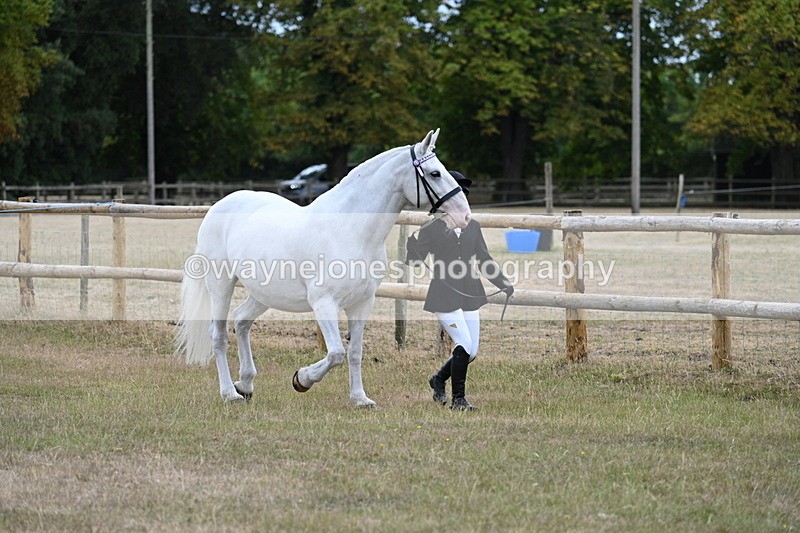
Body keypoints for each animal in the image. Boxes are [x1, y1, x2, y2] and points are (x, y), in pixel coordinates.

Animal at [175, 129, 472, 406]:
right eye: (435, 173)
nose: (464, 216)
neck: (350, 230)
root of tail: (219, 206)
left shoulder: (362, 303)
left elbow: (354, 353)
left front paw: (360, 399)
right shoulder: (324, 303)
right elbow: (336, 353)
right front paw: (302, 379)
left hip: (264, 294)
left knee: (242, 321)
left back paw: (245, 384)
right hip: (221, 285)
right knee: (218, 336)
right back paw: (230, 393)